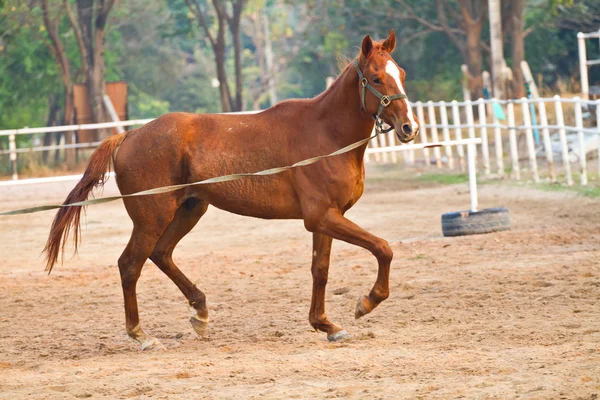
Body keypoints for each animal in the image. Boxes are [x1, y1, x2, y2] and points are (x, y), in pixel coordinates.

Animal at [43, 30, 418, 350]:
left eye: (401, 72)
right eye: (375, 78)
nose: (409, 128)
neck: (326, 134)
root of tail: (129, 136)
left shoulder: (326, 218)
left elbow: (320, 271)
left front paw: (326, 325)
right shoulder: (322, 217)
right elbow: (383, 248)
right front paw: (366, 303)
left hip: (190, 209)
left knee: (161, 254)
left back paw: (201, 312)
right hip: (152, 218)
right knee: (130, 265)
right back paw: (142, 335)